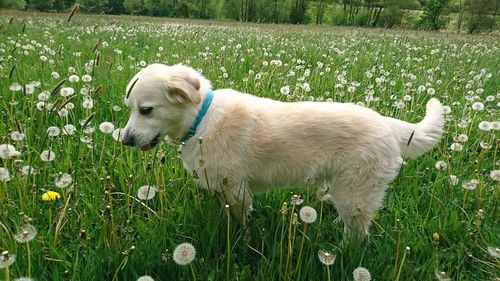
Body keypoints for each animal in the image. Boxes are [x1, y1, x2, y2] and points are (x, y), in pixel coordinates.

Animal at [123, 63, 444, 236]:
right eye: (130, 108)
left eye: (146, 110)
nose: (125, 140)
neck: (201, 120)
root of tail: (387, 124)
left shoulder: (237, 190)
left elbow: (238, 223)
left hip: (354, 193)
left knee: (358, 235)